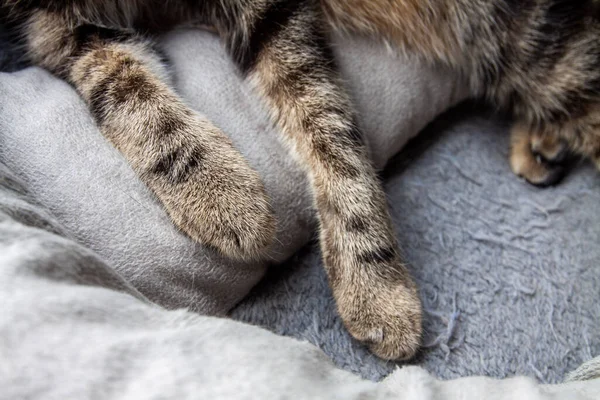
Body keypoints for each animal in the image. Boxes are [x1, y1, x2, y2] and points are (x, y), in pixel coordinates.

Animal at [1, 0, 596, 362]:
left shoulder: (275, 14)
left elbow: (327, 121)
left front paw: (374, 284)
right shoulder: (54, 28)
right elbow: (120, 85)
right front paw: (217, 190)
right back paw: (540, 143)